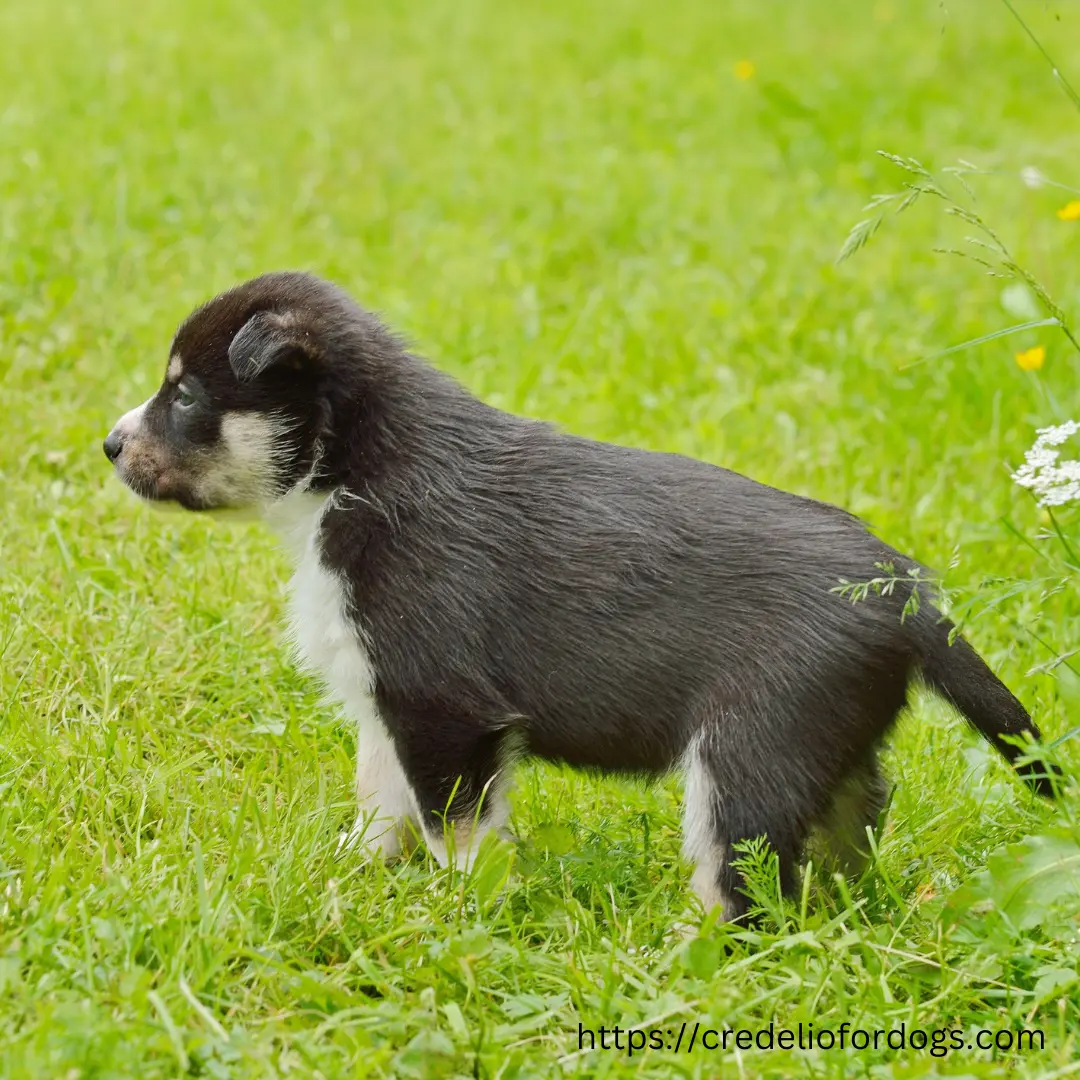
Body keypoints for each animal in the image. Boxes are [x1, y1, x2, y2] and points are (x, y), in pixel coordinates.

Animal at [105, 270, 1058, 920]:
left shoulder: (444, 708)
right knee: (848, 833)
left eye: (185, 394)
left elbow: (456, 831)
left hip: (750, 746)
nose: (108, 445)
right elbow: (381, 800)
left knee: (740, 878)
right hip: (828, 744)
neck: (354, 473)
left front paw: (464, 913)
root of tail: (910, 593)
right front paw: (351, 873)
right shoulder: (386, 698)